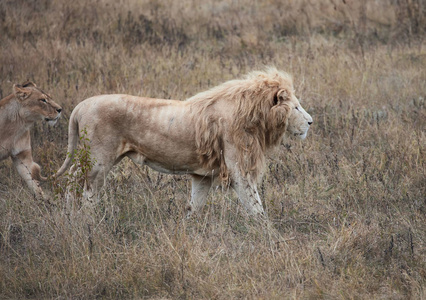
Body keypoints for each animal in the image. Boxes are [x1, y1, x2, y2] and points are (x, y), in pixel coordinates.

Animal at [55, 68, 312, 217]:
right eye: (296, 107)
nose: (311, 122)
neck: (252, 114)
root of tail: (81, 105)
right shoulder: (239, 167)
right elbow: (254, 203)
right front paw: (269, 234)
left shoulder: (203, 175)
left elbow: (195, 205)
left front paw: (190, 227)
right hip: (99, 158)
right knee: (83, 184)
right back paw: (86, 218)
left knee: (73, 178)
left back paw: (69, 214)